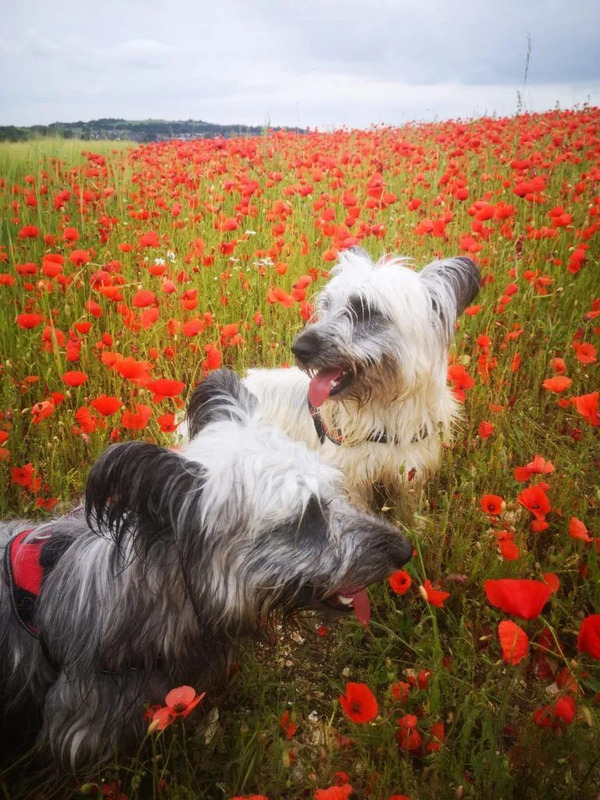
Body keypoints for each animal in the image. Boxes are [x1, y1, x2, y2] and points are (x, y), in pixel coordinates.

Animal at [241, 247, 480, 516]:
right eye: (327, 305)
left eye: (366, 310)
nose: (299, 348)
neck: (383, 409)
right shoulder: (351, 480)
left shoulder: (409, 474)